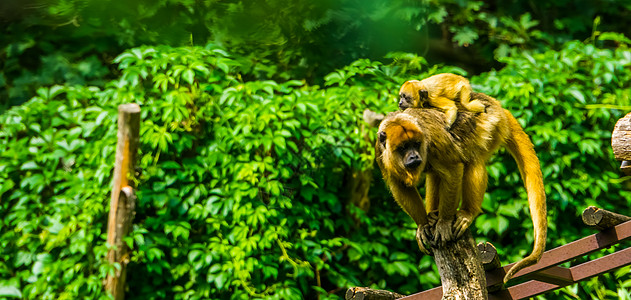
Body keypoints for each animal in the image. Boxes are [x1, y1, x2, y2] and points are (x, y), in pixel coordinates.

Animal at [376, 92, 548, 284]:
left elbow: (453, 170)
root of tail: (496, 105)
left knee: (473, 161)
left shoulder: (434, 139)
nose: (414, 156)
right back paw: (433, 215)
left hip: (490, 125)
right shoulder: (380, 150)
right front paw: (422, 225)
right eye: (404, 147)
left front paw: (444, 223)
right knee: (435, 174)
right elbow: (399, 186)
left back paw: (466, 213)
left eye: (416, 144)